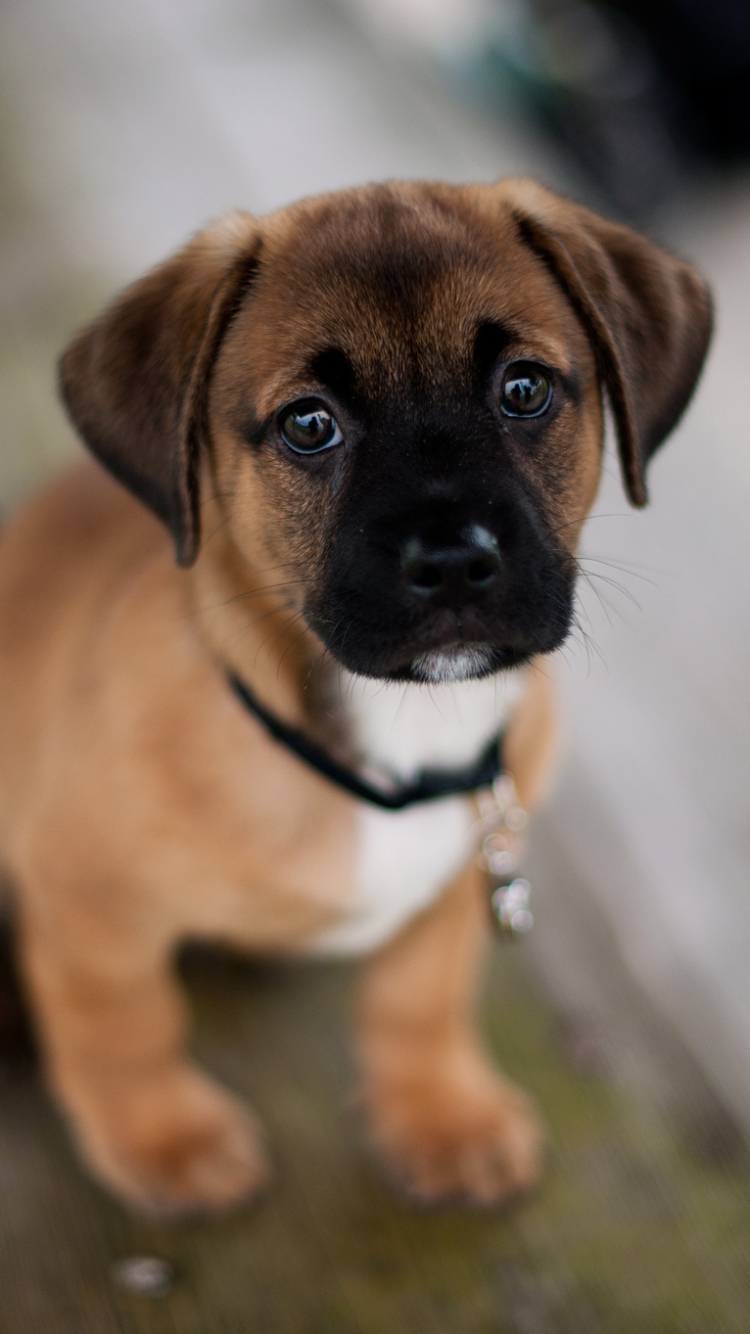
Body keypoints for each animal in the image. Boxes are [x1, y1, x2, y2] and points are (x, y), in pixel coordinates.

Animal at [0, 180, 709, 1221]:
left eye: (525, 389)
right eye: (309, 423)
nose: (452, 560)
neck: (401, 739)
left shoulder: (455, 890)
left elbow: (421, 998)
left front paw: (439, 1113)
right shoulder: (89, 902)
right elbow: (124, 1023)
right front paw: (164, 1137)